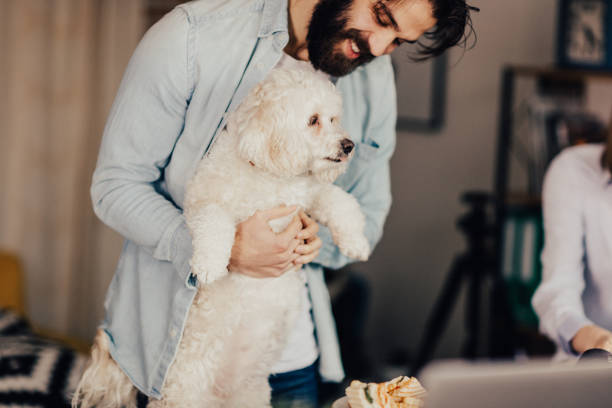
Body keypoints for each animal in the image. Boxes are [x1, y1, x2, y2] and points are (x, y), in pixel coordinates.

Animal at [71, 67, 368, 408]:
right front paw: (210, 264)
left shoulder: (309, 197)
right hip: (182, 391)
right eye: (313, 120)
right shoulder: (203, 202)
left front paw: (357, 242)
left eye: (334, 118)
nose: (349, 145)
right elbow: (214, 223)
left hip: (251, 396)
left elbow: (341, 201)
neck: (268, 172)